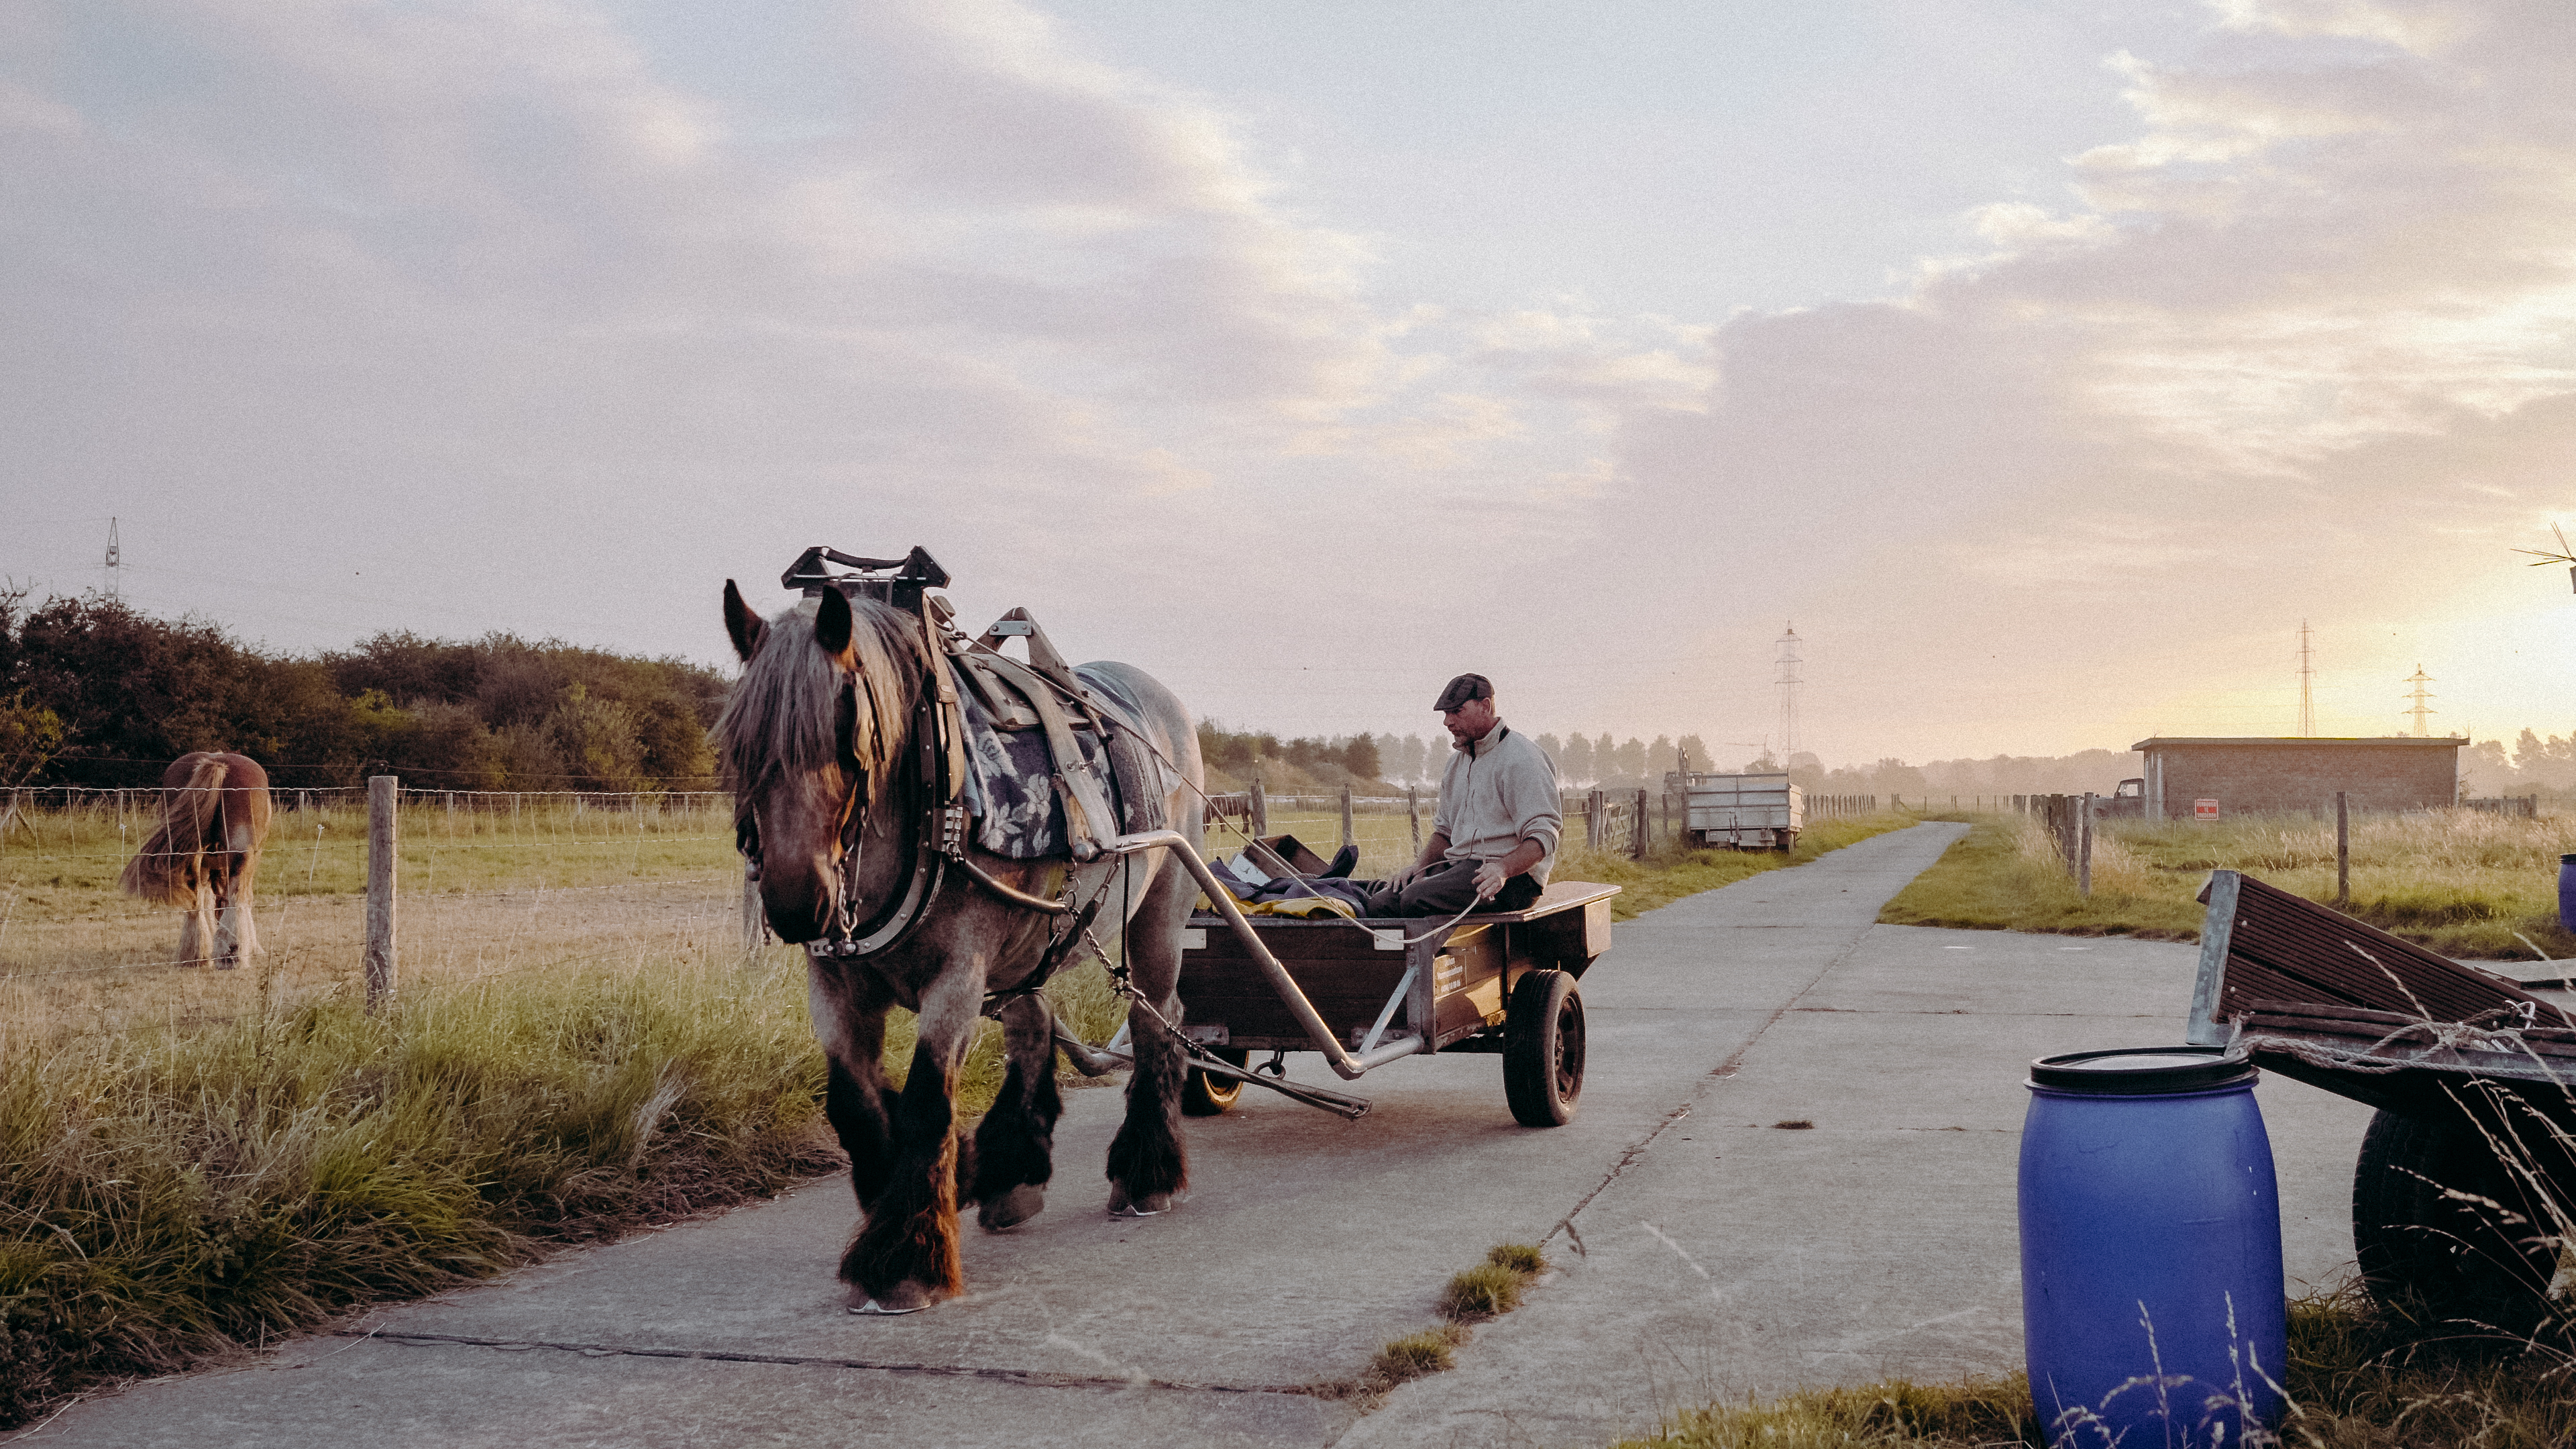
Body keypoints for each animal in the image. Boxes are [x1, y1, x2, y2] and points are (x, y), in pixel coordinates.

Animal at [118, 747, 272, 964]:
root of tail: (216, 762)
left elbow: (208, 900)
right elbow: (244, 899)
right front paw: (255, 948)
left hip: (192, 854)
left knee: (195, 899)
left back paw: (195, 954)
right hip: (242, 854)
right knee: (237, 895)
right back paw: (231, 955)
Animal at [716, 575, 1205, 1309]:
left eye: (845, 730)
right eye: (741, 741)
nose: (797, 904)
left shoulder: (958, 974)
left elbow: (925, 1101)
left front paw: (903, 1261)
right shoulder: (834, 983)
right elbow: (855, 1103)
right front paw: (910, 1197)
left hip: (1158, 912)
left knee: (1158, 1024)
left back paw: (1146, 1172)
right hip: (1030, 939)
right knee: (1034, 1026)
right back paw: (1013, 1169)